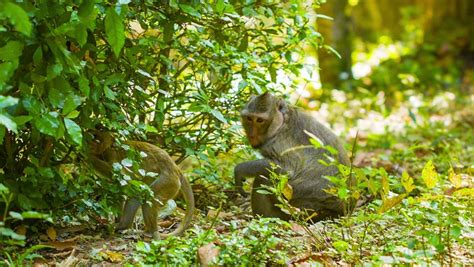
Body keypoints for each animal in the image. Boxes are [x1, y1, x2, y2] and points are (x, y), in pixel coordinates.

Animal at [235, 92, 350, 222]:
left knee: (264, 178)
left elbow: (286, 169)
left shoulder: (279, 143)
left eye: (260, 120)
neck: (283, 121)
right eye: (249, 118)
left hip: (299, 209)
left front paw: (240, 170)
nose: (252, 134)